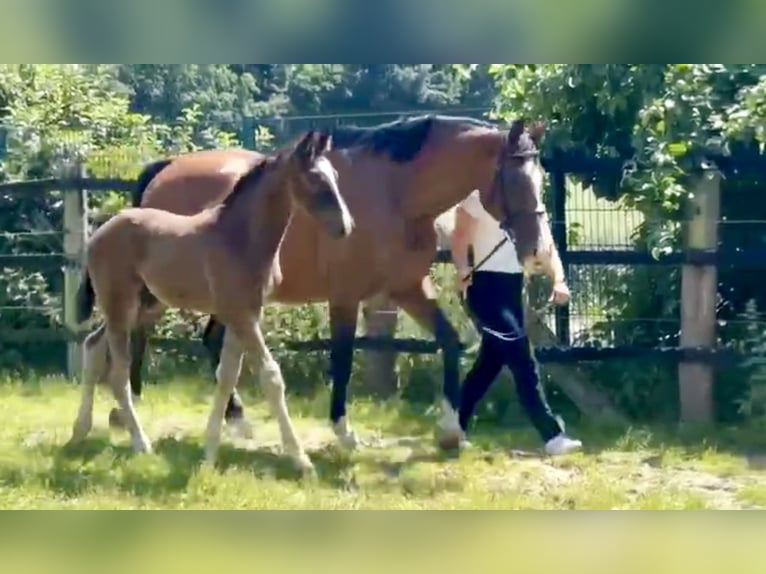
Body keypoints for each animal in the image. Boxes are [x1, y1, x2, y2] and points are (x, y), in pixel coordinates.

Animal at [67, 130, 353, 473]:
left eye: (335, 175)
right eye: (314, 178)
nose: (345, 227)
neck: (240, 237)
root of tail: (99, 233)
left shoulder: (246, 312)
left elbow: (227, 375)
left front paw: (211, 450)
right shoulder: (241, 314)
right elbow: (270, 376)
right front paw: (301, 460)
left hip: (143, 305)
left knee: (93, 347)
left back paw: (80, 431)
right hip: (120, 304)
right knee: (118, 373)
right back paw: (140, 443)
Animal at [116, 114, 556, 451]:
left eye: (541, 178)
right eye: (515, 180)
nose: (537, 252)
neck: (395, 193)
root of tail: (166, 169)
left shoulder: (409, 288)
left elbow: (449, 342)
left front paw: (450, 429)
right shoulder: (345, 296)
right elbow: (342, 358)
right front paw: (344, 432)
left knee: (206, 341)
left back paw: (236, 421)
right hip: (164, 290)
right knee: (136, 333)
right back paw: (129, 410)